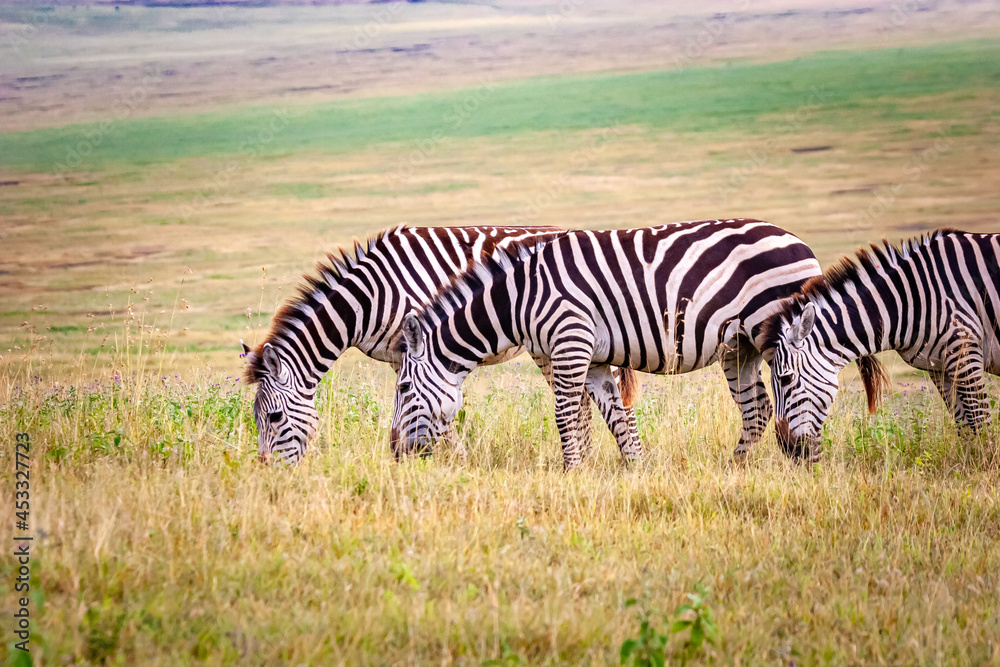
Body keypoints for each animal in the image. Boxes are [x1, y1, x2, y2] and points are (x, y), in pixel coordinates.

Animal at [241, 224, 640, 464]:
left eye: (274, 418)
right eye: (255, 420)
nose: (267, 473)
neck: (370, 297)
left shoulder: (414, 343)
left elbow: (429, 403)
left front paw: (455, 460)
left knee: (586, 400)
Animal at [390, 218, 823, 469]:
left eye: (404, 388)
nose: (394, 453)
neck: (517, 299)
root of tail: (799, 241)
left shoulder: (570, 341)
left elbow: (565, 415)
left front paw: (572, 473)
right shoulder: (594, 359)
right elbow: (614, 416)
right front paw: (636, 471)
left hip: (775, 335)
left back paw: (803, 455)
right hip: (738, 346)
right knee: (757, 408)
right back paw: (737, 466)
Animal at [762, 229, 1000, 461]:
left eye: (786, 379)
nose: (787, 449)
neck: (909, 300)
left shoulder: (965, 351)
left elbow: (980, 422)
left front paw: (985, 463)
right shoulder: (939, 368)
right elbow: (965, 426)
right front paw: (969, 462)